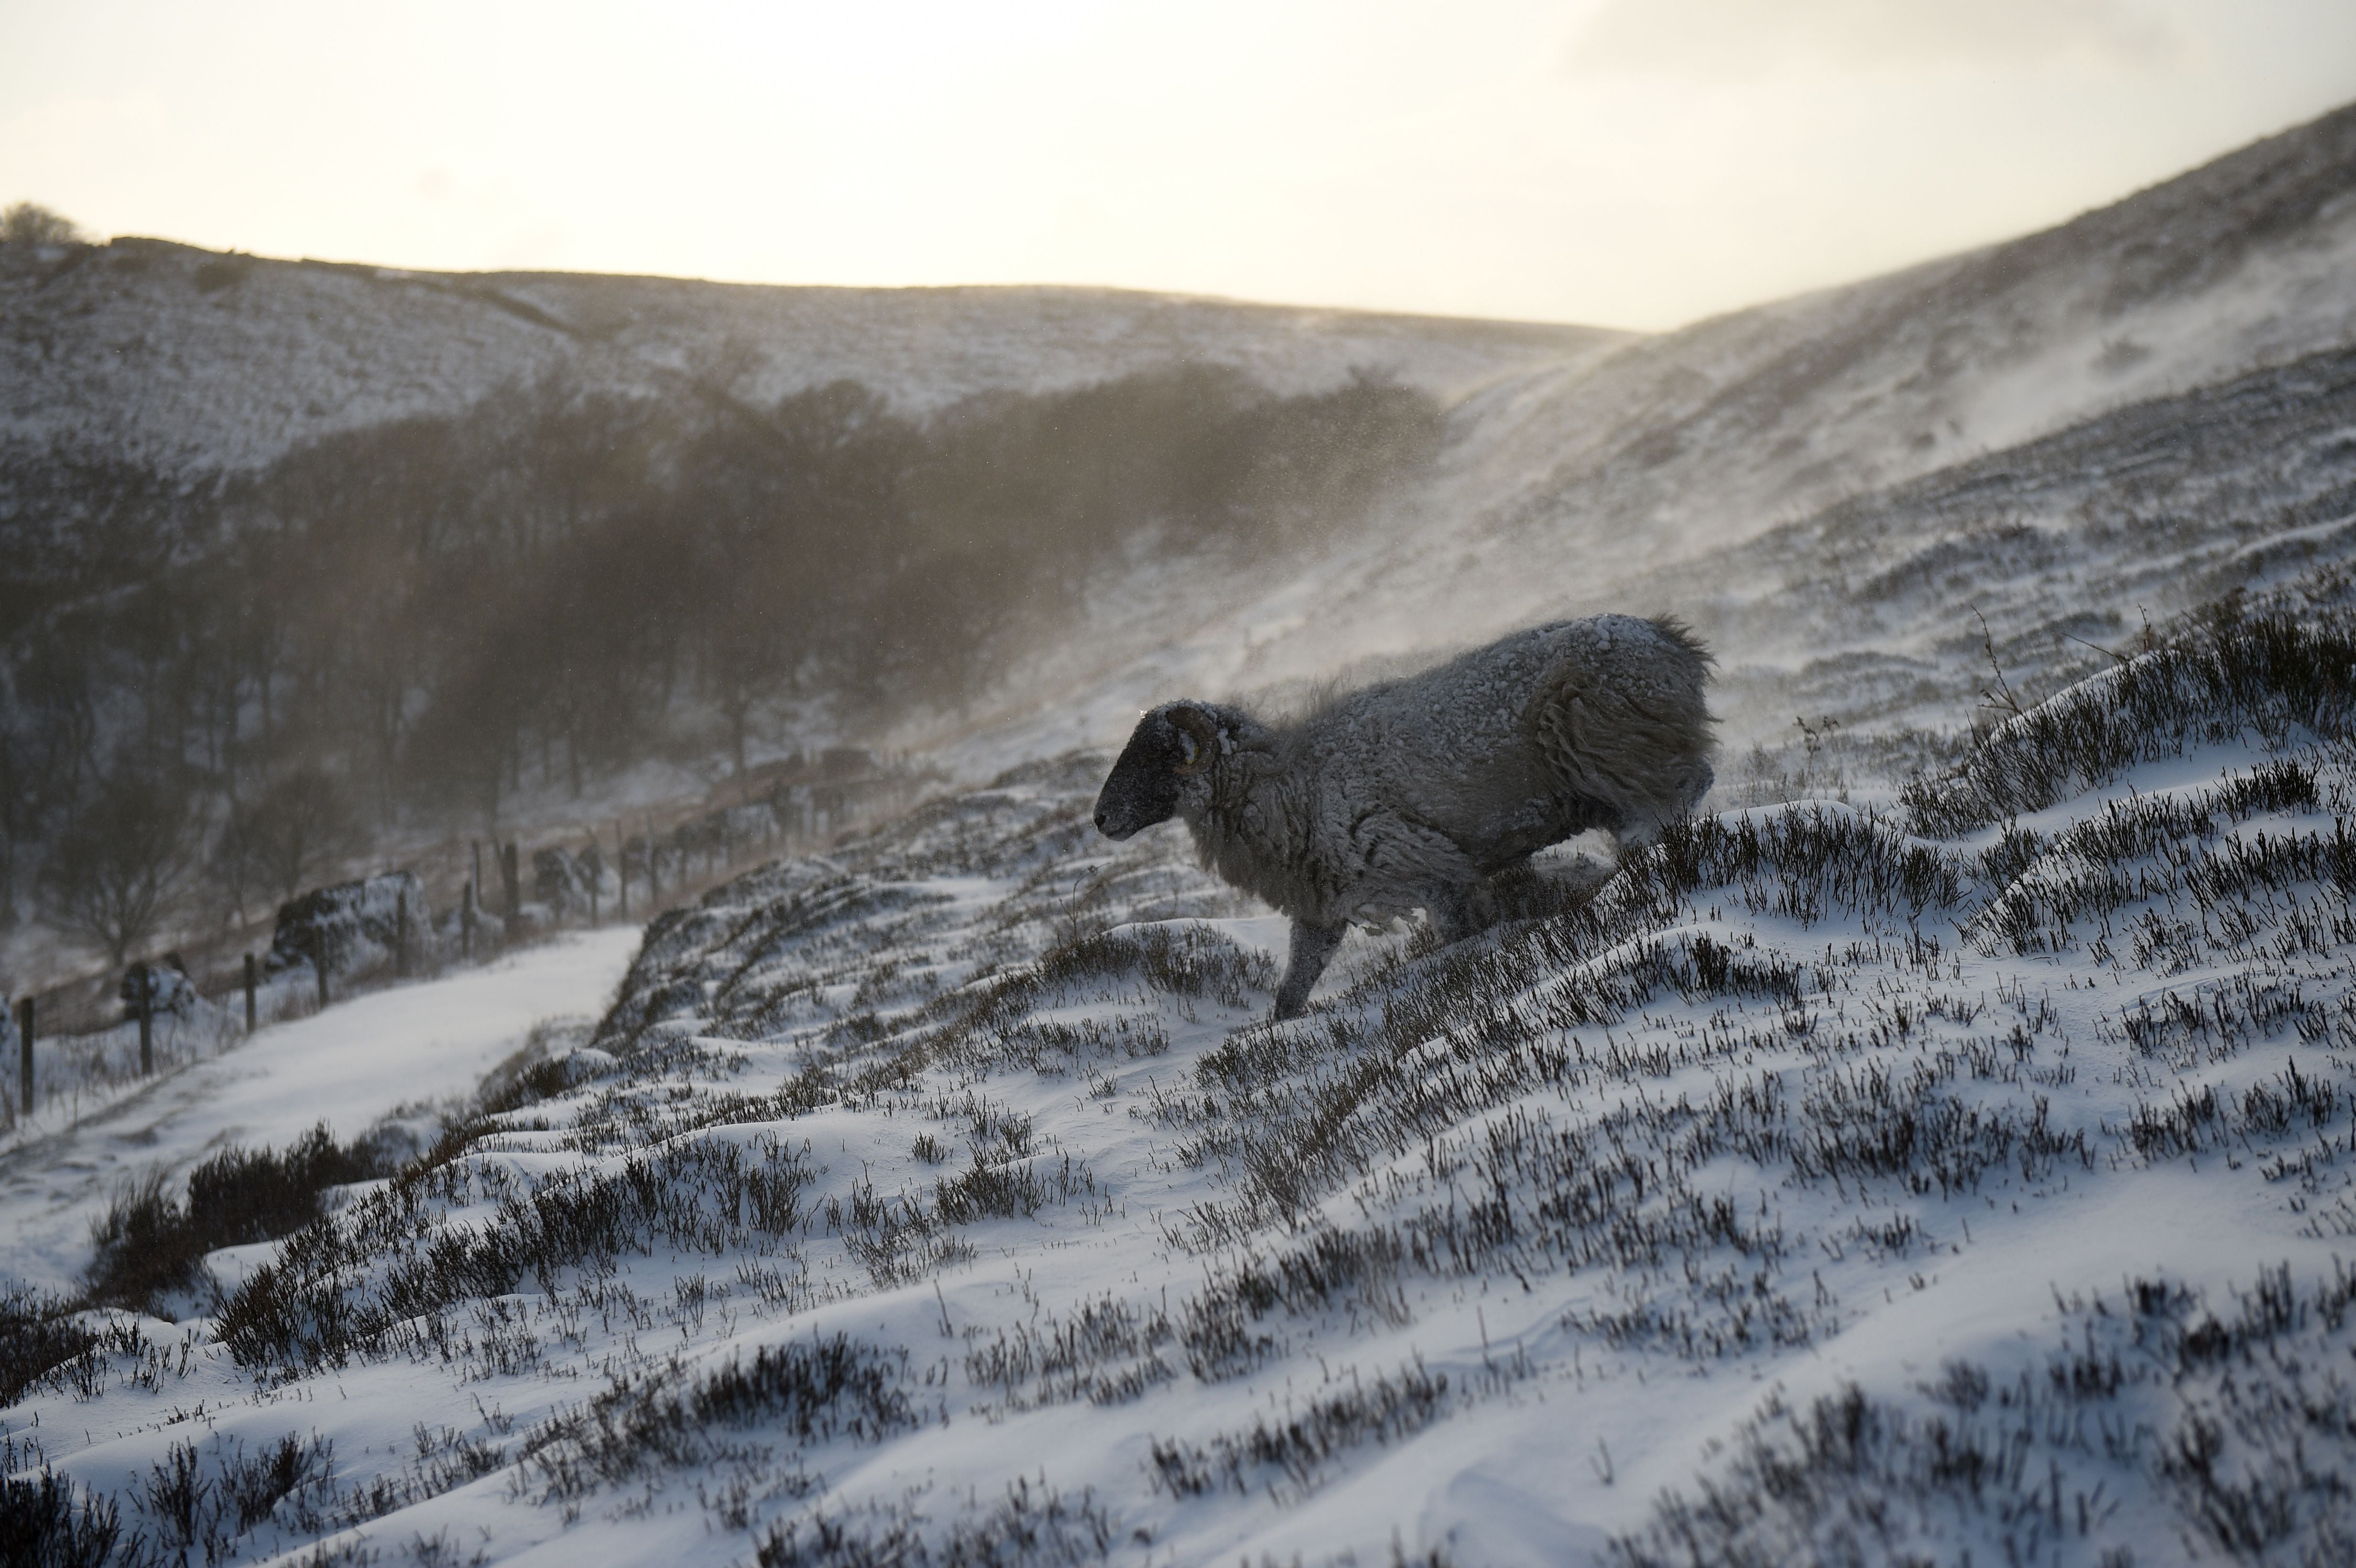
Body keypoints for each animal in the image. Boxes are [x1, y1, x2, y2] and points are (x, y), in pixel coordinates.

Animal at [1083, 612, 1715, 1012]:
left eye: (1160, 755)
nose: (1101, 820)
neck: (1288, 781)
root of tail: (1671, 639)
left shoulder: (1427, 871)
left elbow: (1458, 938)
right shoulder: (1324, 906)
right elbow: (1291, 990)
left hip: (1615, 752)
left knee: (1683, 790)